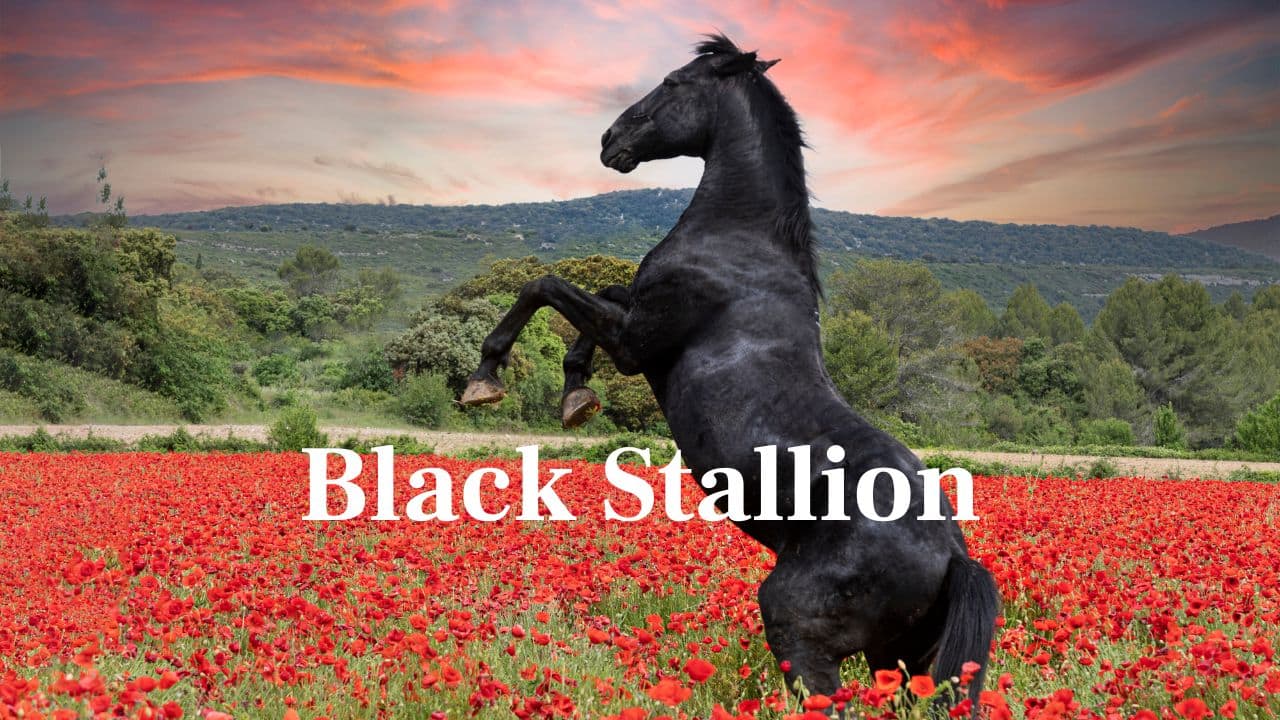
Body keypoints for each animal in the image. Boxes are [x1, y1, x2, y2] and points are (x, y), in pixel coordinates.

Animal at [460, 34, 1000, 714]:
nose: (610, 139)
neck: (741, 240)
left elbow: (545, 284)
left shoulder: (635, 343)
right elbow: (599, 291)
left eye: (672, 82)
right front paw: (577, 394)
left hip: (799, 632)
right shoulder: (633, 320)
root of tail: (953, 557)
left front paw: (487, 377)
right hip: (900, 664)